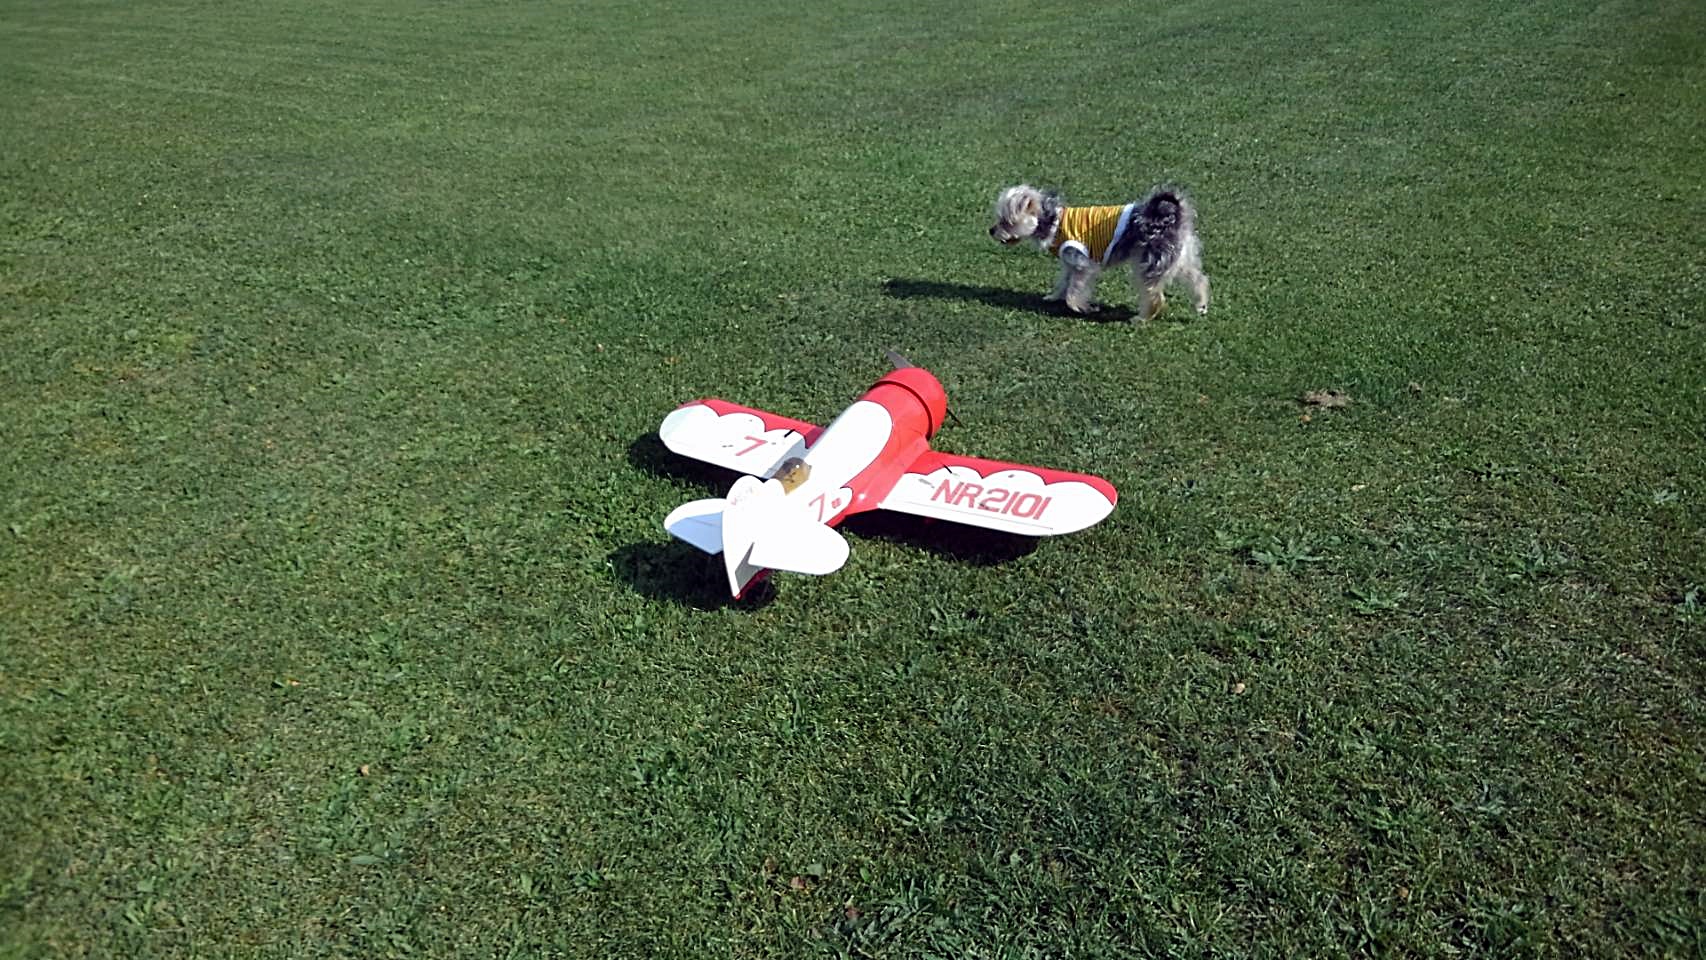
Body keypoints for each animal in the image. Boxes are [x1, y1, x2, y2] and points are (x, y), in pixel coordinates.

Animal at [989, 185, 1214, 320]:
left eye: (1006, 222)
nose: (991, 230)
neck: (1052, 221)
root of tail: (1172, 217)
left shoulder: (1083, 264)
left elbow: (1074, 291)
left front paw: (1082, 308)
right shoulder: (1068, 263)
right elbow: (1064, 283)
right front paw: (1053, 297)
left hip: (1149, 262)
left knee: (1154, 296)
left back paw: (1142, 318)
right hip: (1179, 259)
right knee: (1199, 279)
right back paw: (1201, 305)